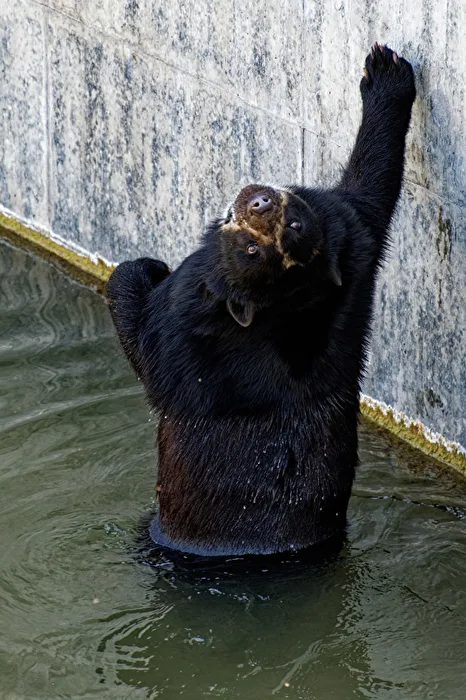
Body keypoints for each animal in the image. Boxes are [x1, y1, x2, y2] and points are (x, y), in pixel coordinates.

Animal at [106, 44, 416, 557]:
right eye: (291, 223)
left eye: (257, 246)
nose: (261, 200)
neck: (282, 312)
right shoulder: (352, 267)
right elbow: (372, 195)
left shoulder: (190, 344)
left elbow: (148, 350)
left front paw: (145, 268)